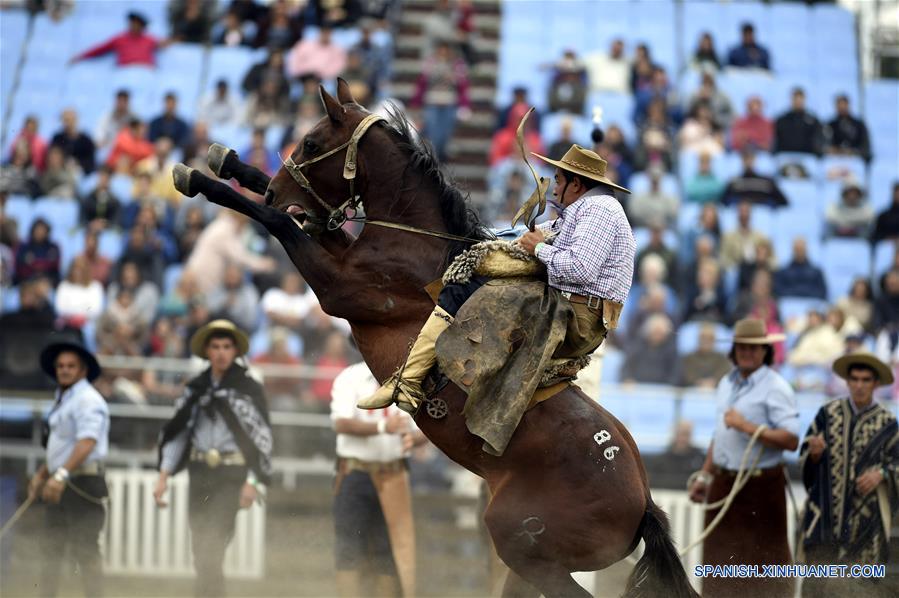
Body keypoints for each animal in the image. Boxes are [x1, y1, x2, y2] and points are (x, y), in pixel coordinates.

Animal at [174, 81, 696, 598]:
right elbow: (296, 221)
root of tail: (643, 502)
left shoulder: (339, 287)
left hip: (522, 546)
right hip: (524, 562)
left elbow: (278, 222)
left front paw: (198, 178)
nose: (279, 190)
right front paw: (227, 161)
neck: (416, 246)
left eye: (311, 143)